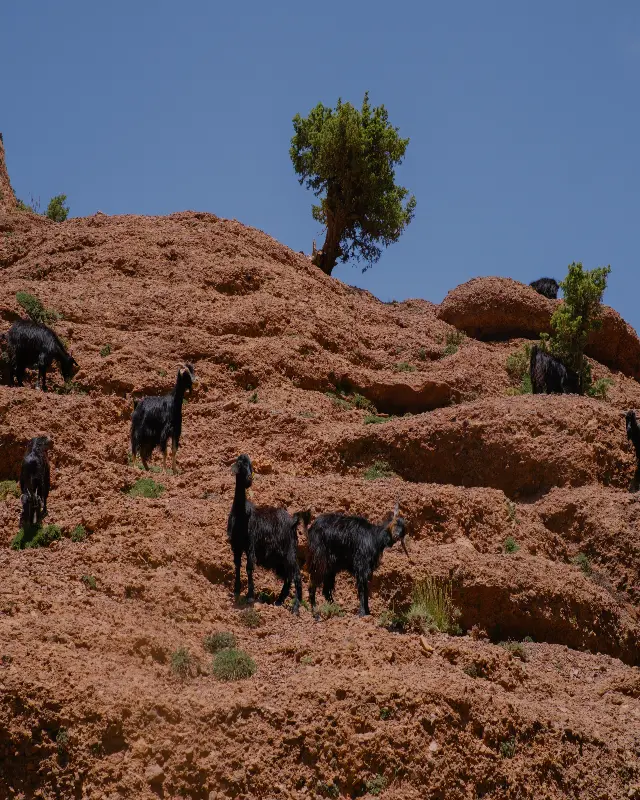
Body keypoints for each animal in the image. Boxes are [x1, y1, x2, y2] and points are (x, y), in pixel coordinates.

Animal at [227, 454, 310, 613]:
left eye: (251, 466)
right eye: (240, 464)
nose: (249, 480)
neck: (241, 514)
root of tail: (293, 521)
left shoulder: (251, 544)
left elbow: (249, 567)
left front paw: (250, 596)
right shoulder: (236, 545)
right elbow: (238, 565)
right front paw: (236, 590)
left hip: (290, 551)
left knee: (296, 575)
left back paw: (295, 607)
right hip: (280, 557)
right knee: (288, 576)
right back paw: (279, 601)